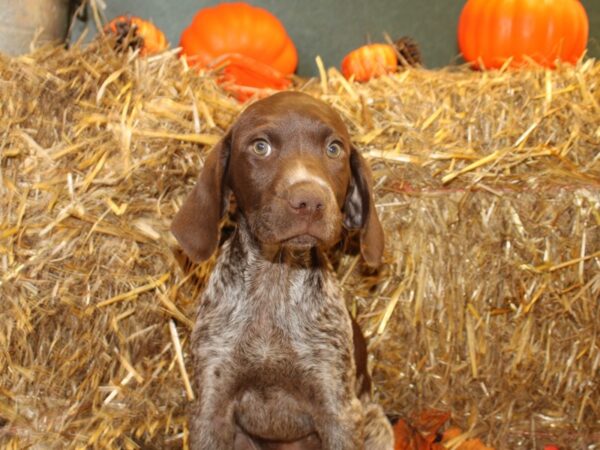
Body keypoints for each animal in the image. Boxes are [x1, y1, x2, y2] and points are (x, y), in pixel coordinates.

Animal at [171, 89, 392, 448]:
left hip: (376, 425)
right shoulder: (211, 407)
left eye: (334, 149)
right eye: (260, 147)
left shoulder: (339, 412)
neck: (275, 278)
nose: (311, 201)